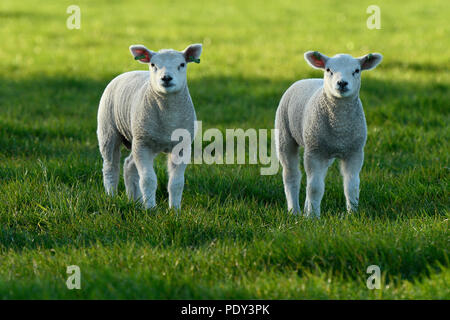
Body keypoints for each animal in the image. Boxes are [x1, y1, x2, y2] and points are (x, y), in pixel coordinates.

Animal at [97, 43, 202, 210]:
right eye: (153, 65)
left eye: (182, 64)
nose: (166, 78)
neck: (168, 119)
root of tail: (128, 72)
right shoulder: (143, 145)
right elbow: (148, 179)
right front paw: (151, 209)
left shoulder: (182, 146)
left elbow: (176, 183)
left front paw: (175, 210)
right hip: (109, 130)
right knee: (110, 167)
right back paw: (111, 197)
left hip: (138, 137)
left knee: (129, 165)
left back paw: (135, 200)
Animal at [274, 51, 384, 216]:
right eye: (328, 70)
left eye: (356, 70)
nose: (342, 83)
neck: (339, 127)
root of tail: (307, 79)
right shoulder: (315, 151)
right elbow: (315, 188)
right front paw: (313, 217)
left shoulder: (355, 152)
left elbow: (352, 186)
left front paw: (352, 214)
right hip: (285, 135)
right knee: (292, 175)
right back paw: (294, 211)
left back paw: (305, 209)